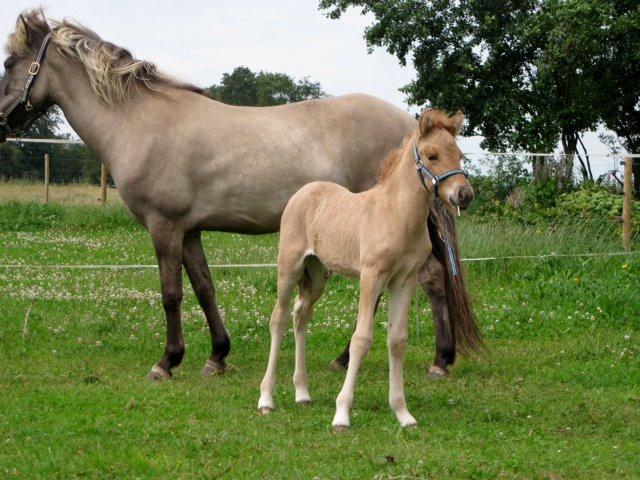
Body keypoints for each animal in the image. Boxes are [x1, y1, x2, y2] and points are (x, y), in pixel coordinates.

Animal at [0, 9, 480, 380]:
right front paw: (216, 356)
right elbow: (204, 289)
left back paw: (434, 361)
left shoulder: (164, 226)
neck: (141, 122)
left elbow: (170, 294)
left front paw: (166, 362)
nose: (2, 123)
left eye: (8, 62)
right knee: (423, 279)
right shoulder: (189, 231)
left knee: (423, 280)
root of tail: (411, 129)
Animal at [258, 109, 472, 432]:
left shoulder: (404, 281)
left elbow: (397, 340)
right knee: (278, 318)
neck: (396, 215)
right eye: (432, 155)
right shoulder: (372, 277)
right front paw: (341, 415)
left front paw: (403, 414)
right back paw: (266, 399)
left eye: (460, 155)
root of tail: (305, 191)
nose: (464, 194)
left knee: (300, 316)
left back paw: (302, 392)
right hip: (289, 268)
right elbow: (361, 339)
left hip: (317, 274)